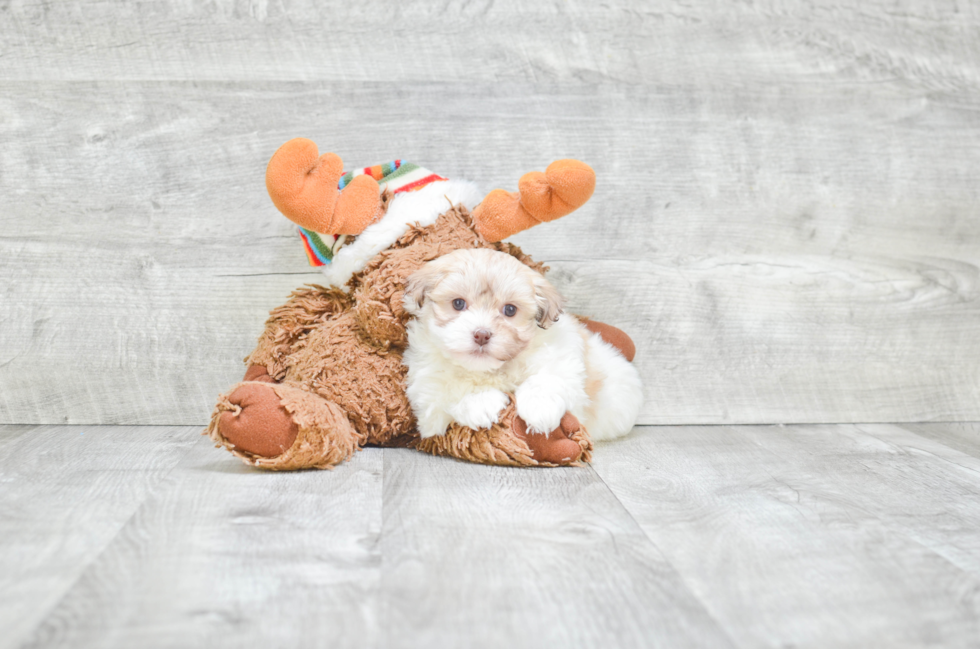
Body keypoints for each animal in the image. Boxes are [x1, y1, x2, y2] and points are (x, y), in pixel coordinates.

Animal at [400, 247, 644, 440]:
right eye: (458, 304)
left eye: (510, 310)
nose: (482, 334)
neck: (490, 370)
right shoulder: (427, 396)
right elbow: (449, 394)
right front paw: (480, 402)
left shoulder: (563, 356)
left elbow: (548, 378)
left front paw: (539, 407)